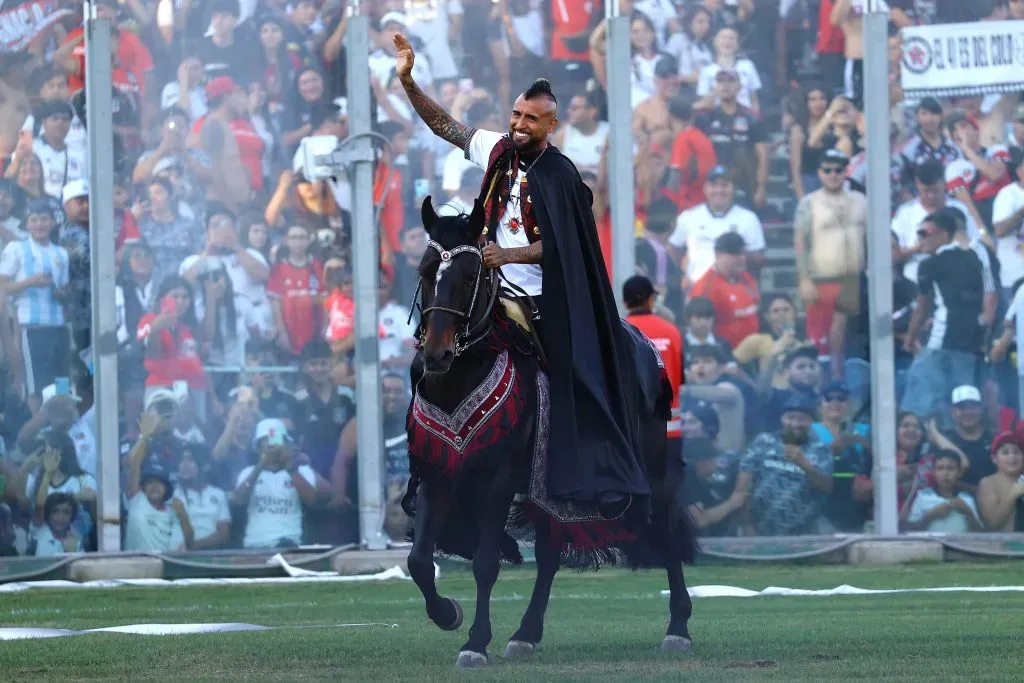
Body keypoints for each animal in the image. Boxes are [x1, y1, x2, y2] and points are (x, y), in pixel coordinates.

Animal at [399, 197, 696, 667]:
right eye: (425, 271)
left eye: (471, 275)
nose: (436, 354)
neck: (462, 376)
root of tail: (643, 344)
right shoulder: (435, 473)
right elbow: (419, 560)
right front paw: (448, 614)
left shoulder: (498, 479)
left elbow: (485, 561)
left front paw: (475, 642)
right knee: (550, 553)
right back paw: (525, 633)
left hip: (651, 465)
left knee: (666, 527)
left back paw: (678, 628)